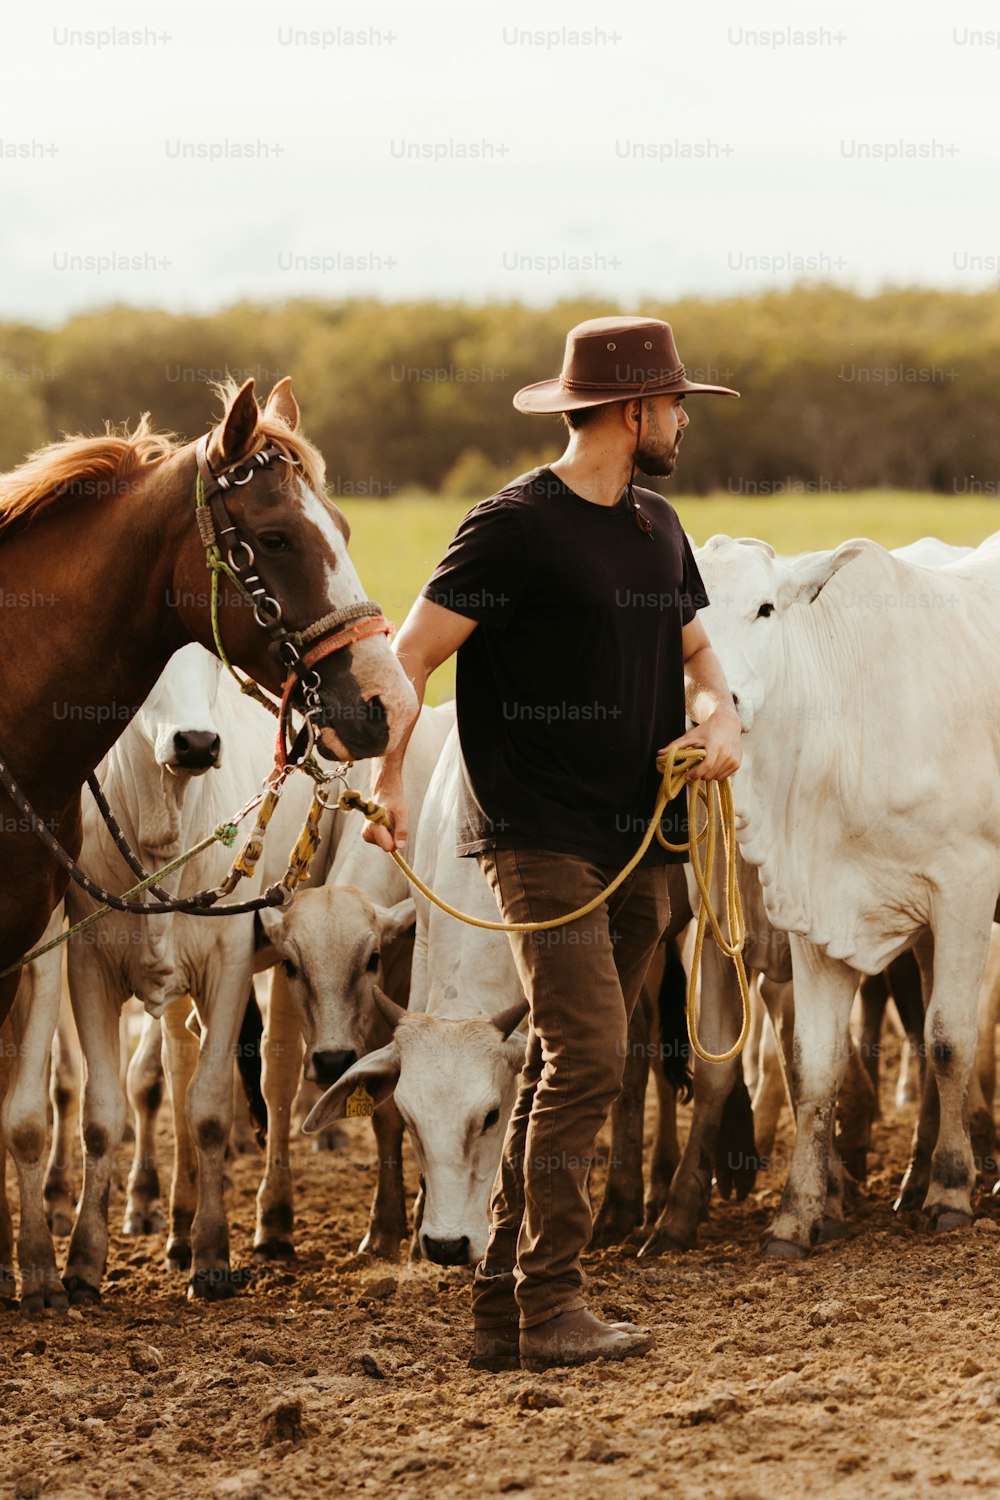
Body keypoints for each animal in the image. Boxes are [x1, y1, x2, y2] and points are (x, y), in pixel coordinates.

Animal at [683, 534, 1000, 1260]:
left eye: (766, 607)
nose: (714, 709)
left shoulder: (967, 887)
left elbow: (949, 1041)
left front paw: (950, 1193)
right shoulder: (818, 914)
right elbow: (817, 1065)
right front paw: (796, 1216)